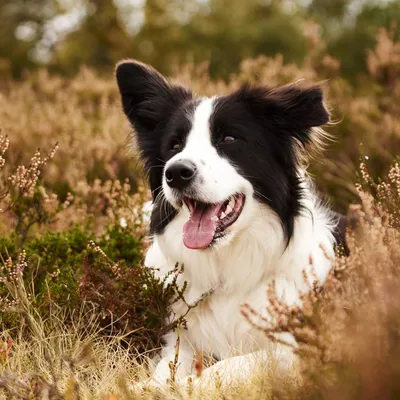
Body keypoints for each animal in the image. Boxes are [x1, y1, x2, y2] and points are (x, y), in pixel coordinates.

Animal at [115, 60, 338, 384]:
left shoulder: (299, 349)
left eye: (229, 139)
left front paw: (188, 387)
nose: (176, 172)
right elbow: (165, 370)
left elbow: (225, 367)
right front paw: (144, 386)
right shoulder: (181, 340)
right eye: (175, 145)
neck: (227, 267)